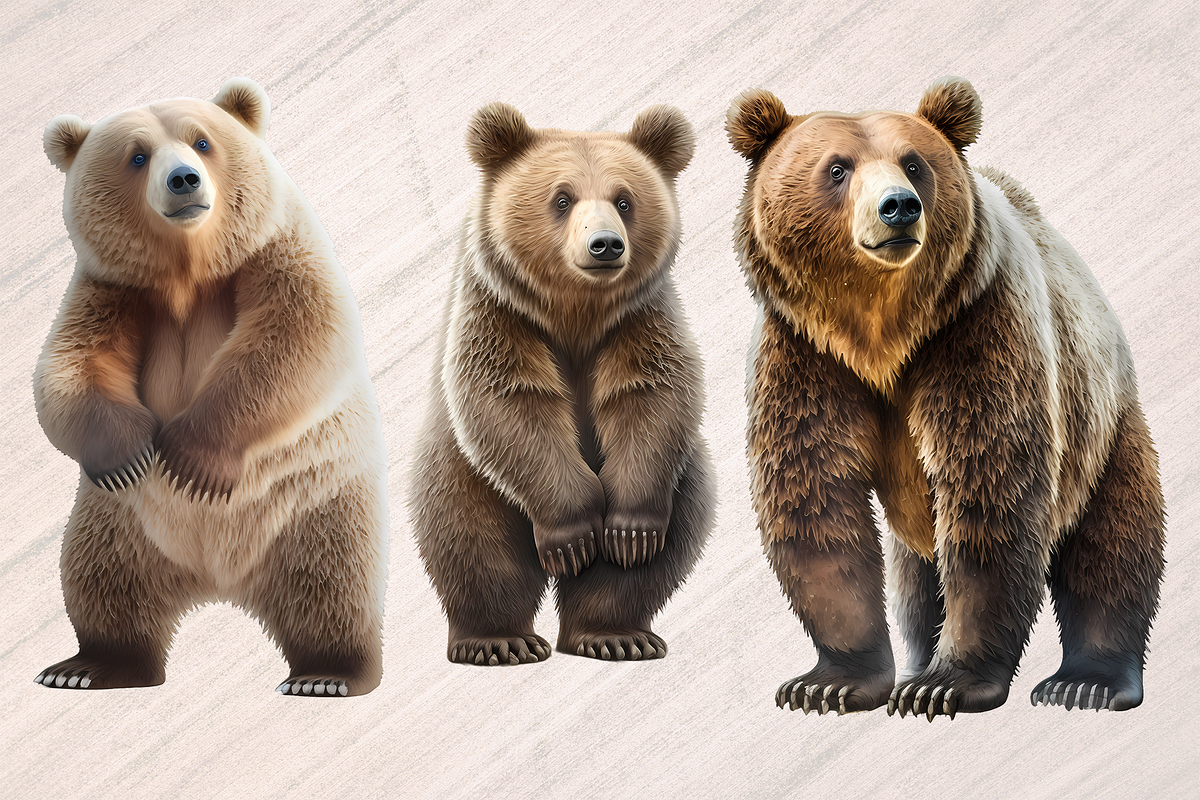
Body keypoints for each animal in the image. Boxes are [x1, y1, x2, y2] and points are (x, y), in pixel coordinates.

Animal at [34, 78, 388, 697]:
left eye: (201, 141)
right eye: (137, 156)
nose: (183, 179)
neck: (188, 273)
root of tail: (216, 579)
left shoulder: (270, 250)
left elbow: (297, 334)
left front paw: (189, 460)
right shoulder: (111, 290)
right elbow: (75, 361)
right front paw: (130, 454)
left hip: (311, 504)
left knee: (333, 581)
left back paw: (326, 674)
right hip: (120, 524)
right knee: (101, 580)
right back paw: (87, 666)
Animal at [408, 102, 715, 666]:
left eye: (624, 199)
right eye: (562, 197)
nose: (605, 244)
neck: (575, 310)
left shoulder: (638, 317)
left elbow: (651, 392)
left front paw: (628, 532)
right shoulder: (500, 310)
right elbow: (510, 399)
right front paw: (571, 536)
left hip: (684, 476)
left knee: (671, 533)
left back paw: (613, 634)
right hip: (461, 471)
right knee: (471, 542)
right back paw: (498, 640)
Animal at [726, 77, 1165, 718]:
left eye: (914, 163)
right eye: (837, 168)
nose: (898, 206)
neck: (881, 333)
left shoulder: (976, 329)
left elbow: (990, 486)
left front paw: (947, 683)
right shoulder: (806, 356)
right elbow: (814, 495)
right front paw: (829, 682)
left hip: (1101, 422)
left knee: (1113, 539)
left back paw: (1087, 682)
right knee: (915, 579)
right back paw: (915, 659)